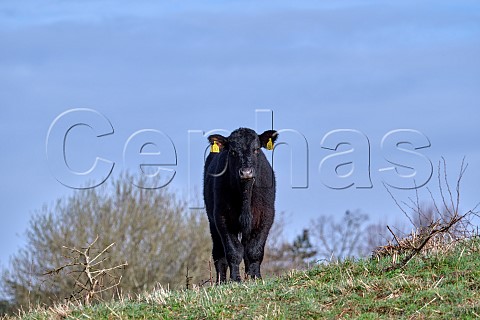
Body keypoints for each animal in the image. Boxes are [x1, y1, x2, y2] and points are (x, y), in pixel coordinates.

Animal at [202, 127, 278, 282]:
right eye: (232, 152)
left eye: (256, 149)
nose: (246, 172)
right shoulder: (222, 218)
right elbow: (233, 251)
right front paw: (235, 279)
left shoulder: (266, 216)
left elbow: (255, 250)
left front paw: (256, 278)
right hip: (212, 222)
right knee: (219, 254)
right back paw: (220, 282)